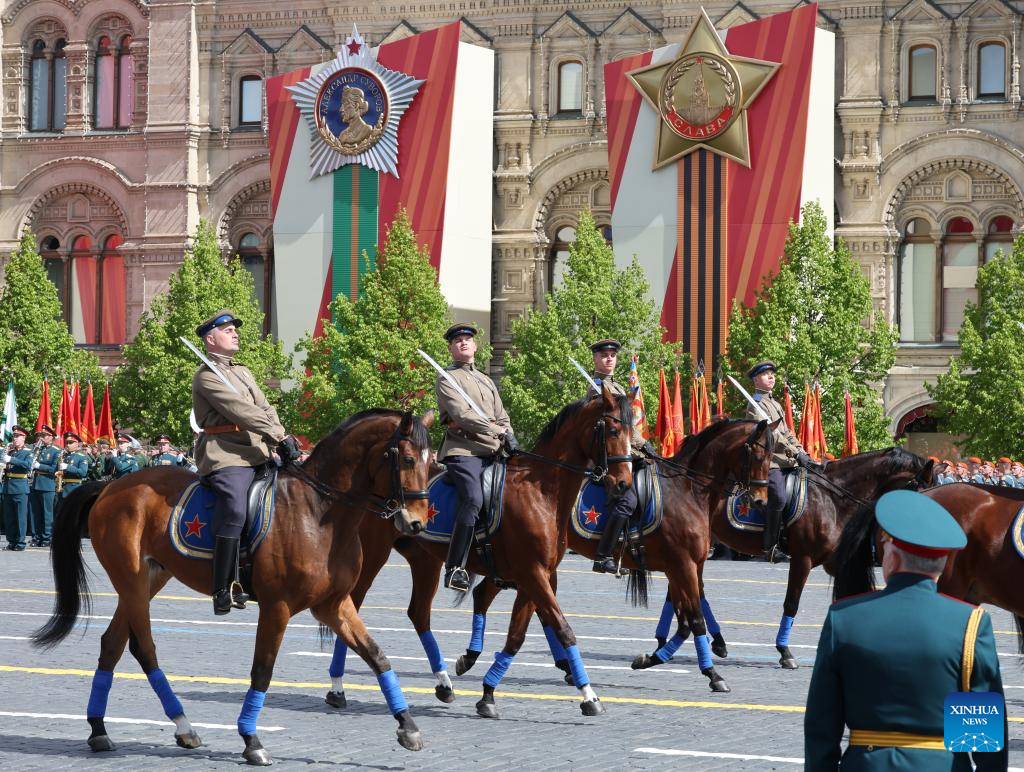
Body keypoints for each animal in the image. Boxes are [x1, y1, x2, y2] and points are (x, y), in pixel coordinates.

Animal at [32, 409, 436, 765]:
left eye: (432, 462)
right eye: (408, 459)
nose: (417, 523)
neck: (320, 511)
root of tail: (110, 486)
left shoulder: (334, 604)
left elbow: (376, 655)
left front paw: (408, 727)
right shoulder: (277, 607)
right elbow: (263, 670)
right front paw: (251, 740)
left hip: (147, 581)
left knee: (112, 645)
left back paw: (102, 729)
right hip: (131, 582)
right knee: (143, 648)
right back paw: (180, 724)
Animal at [323, 385, 636, 719]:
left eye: (633, 431)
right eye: (614, 430)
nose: (624, 484)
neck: (540, 492)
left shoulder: (533, 577)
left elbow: (517, 637)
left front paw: (487, 692)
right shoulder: (533, 574)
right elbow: (563, 629)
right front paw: (589, 695)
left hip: (425, 560)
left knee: (419, 614)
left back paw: (444, 683)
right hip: (373, 556)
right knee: (352, 607)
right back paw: (337, 687)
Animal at [457, 417, 778, 694]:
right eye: (758, 456)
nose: (761, 501)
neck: (687, 491)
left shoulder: (685, 567)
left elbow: (686, 621)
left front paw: (651, 658)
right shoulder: (683, 565)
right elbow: (695, 619)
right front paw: (713, 674)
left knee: (493, 596)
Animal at [643, 446, 935, 669]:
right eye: (922, 489)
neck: (832, 497)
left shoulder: (834, 562)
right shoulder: (802, 559)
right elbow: (791, 604)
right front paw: (785, 652)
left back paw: (699, 641)